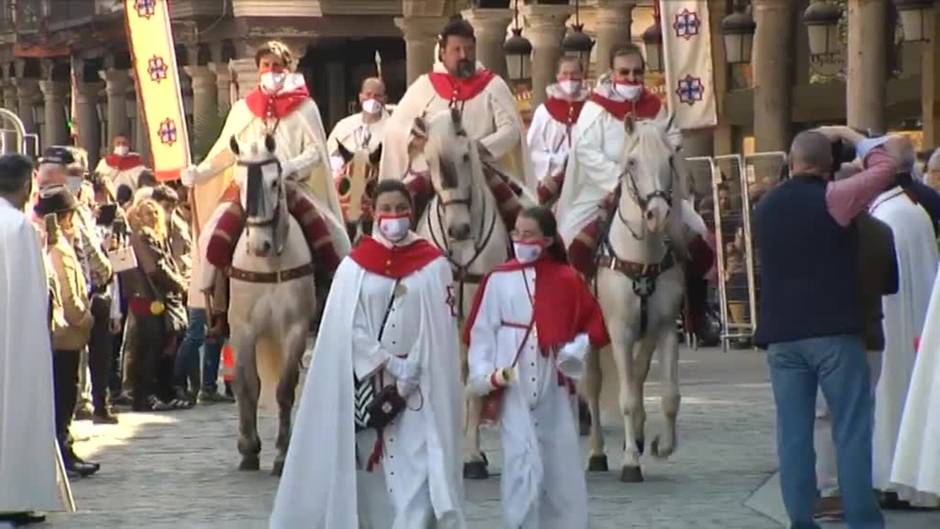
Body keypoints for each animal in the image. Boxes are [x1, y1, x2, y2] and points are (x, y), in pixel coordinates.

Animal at [228, 134, 320, 476]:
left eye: (274, 182)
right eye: (238, 183)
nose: (259, 245)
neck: (268, 265)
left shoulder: (295, 330)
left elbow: (284, 389)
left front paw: (282, 454)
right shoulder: (242, 329)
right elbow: (246, 385)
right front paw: (248, 448)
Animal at [584, 112, 688, 482]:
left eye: (670, 159)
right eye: (631, 162)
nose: (657, 215)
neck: (641, 257)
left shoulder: (667, 328)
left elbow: (670, 395)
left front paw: (663, 445)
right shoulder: (620, 333)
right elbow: (626, 397)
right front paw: (630, 461)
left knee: (640, 373)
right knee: (593, 387)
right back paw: (597, 453)